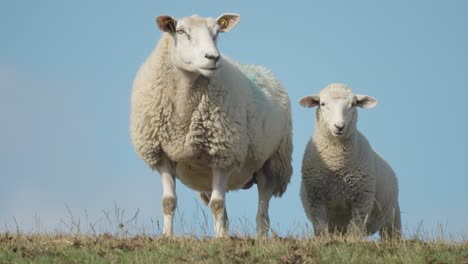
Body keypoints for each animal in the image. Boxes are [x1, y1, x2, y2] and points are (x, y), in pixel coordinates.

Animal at [130, 13, 292, 238]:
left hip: (272, 164)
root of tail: (265, 71)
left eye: (217, 33)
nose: (213, 57)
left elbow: (217, 205)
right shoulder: (161, 153)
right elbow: (169, 202)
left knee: (262, 213)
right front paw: (167, 237)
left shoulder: (223, 154)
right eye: (181, 31)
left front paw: (221, 240)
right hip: (207, 176)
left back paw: (259, 239)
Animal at [298, 83, 400, 239]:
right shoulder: (316, 199)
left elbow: (355, 230)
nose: (339, 126)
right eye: (322, 104)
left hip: (393, 218)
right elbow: (321, 229)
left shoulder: (362, 200)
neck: (336, 162)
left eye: (353, 104)